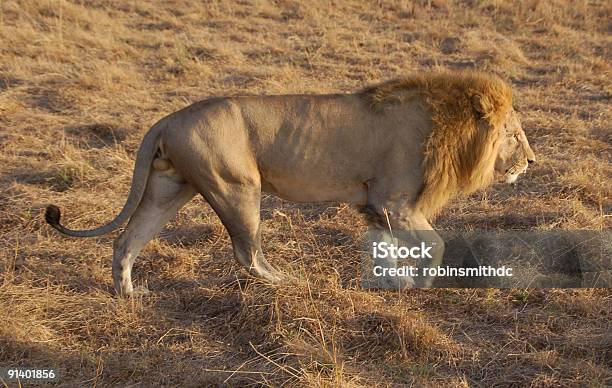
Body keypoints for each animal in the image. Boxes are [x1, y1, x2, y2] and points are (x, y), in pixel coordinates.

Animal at [45, 70, 536, 294]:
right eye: (514, 135)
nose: (531, 161)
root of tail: (167, 119)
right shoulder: (394, 201)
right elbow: (435, 243)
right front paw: (421, 286)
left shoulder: (375, 207)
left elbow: (390, 251)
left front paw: (393, 285)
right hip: (237, 187)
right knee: (247, 253)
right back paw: (288, 282)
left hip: (169, 189)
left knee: (126, 240)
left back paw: (129, 295)